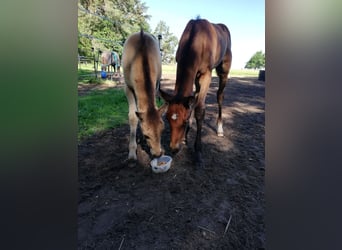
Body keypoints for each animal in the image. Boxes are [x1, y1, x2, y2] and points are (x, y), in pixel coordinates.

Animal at [122, 30, 168, 161]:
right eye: (147, 135)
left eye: (162, 130)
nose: (158, 153)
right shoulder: (128, 87)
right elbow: (133, 116)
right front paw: (132, 153)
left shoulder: (156, 84)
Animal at [160, 18, 232, 167]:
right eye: (168, 119)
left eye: (184, 121)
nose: (174, 148)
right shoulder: (193, 72)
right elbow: (192, 101)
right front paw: (185, 137)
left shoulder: (206, 74)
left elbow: (200, 109)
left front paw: (198, 152)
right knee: (197, 96)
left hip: (224, 69)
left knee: (220, 96)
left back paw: (220, 129)